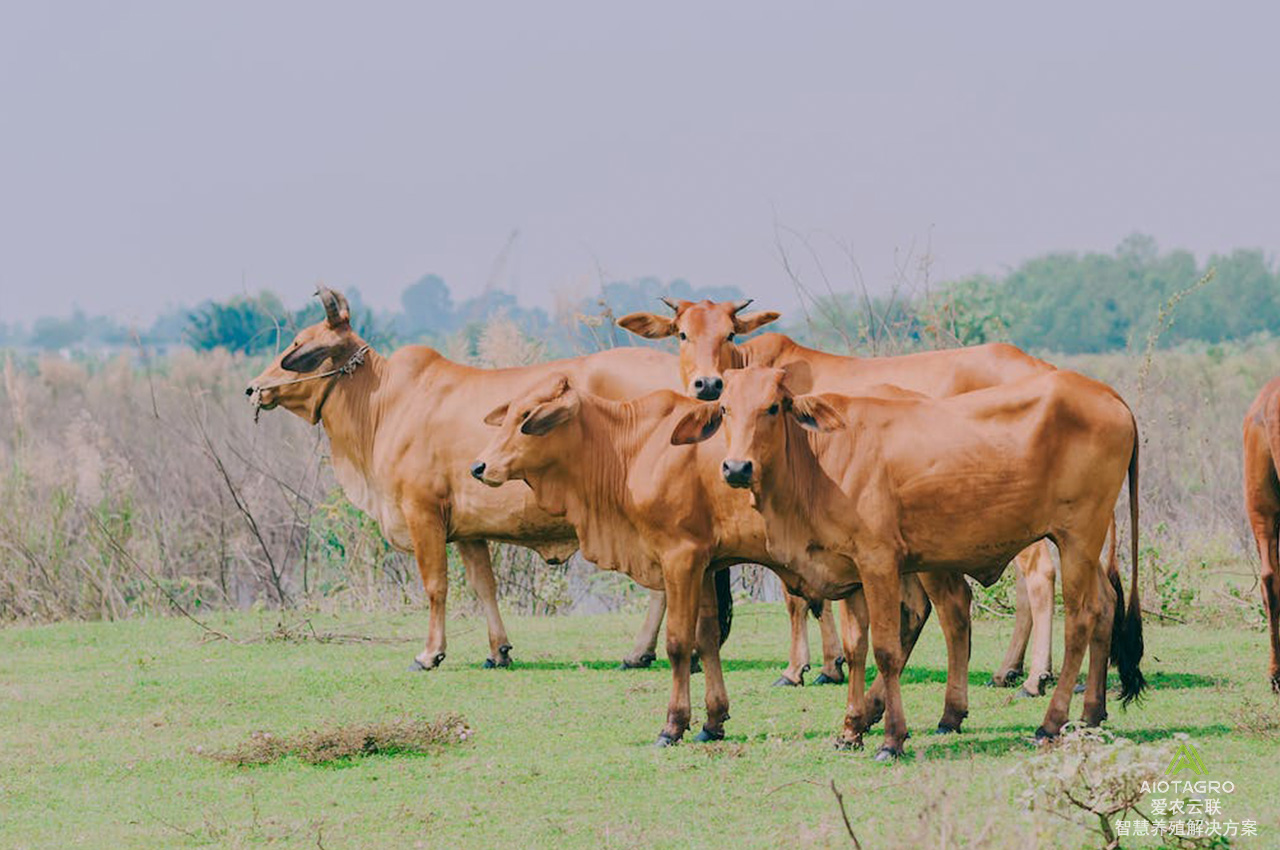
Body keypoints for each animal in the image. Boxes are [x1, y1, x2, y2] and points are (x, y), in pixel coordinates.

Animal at [619, 298, 1059, 696]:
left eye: (729, 333)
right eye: (682, 334)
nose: (708, 384)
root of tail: (1046, 369)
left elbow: (797, 598)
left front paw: (799, 668)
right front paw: (831, 665)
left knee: (1040, 577)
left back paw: (1034, 678)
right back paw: (1012, 671)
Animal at [675, 366, 1146, 757]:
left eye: (773, 407)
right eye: (725, 408)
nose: (737, 468)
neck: (820, 459)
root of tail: (1107, 393)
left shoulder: (878, 563)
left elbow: (884, 650)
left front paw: (891, 738)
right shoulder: (851, 572)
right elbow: (856, 648)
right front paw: (851, 729)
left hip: (1077, 538)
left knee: (1081, 619)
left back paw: (1051, 723)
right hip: (1082, 543)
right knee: (1105, 607)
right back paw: (1091, 713)